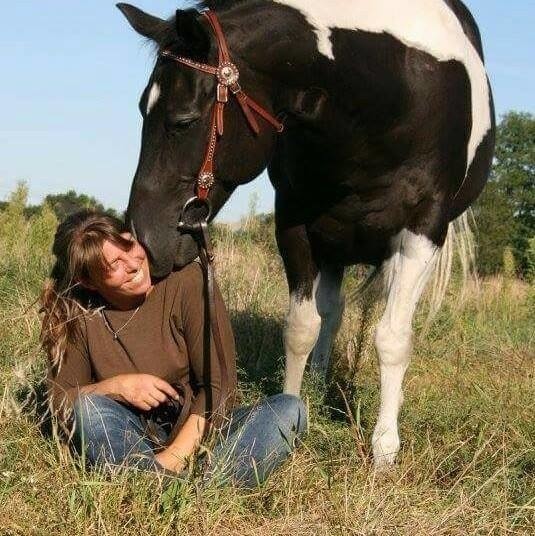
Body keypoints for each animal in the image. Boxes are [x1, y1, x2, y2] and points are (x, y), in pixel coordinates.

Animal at [119, 0, 496, 464]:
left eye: (183, 121)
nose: (144, 239)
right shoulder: (294, 222)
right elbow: (300, 328)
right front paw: (291, 417)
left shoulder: (422, 232)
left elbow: (392, 338)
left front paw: (384, 449)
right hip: (334, 240)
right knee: (331, 312)